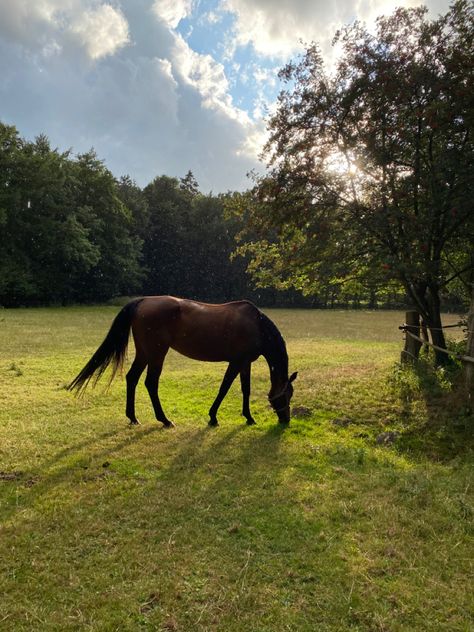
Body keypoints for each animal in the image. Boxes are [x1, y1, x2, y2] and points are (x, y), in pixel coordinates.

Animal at [67, 298, 296, 428]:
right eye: (287, 394)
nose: (286, 419)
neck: (256, 325)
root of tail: (142, 301)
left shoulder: (244, 362)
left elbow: (245, 389)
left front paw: (248, 417)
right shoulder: (236, 362)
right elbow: (224, 388)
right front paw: (213, 417)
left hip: (145, 352)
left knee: (132, 378)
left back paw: (133, 417)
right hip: (157, 352)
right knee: (151, 383)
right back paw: (164, 419)